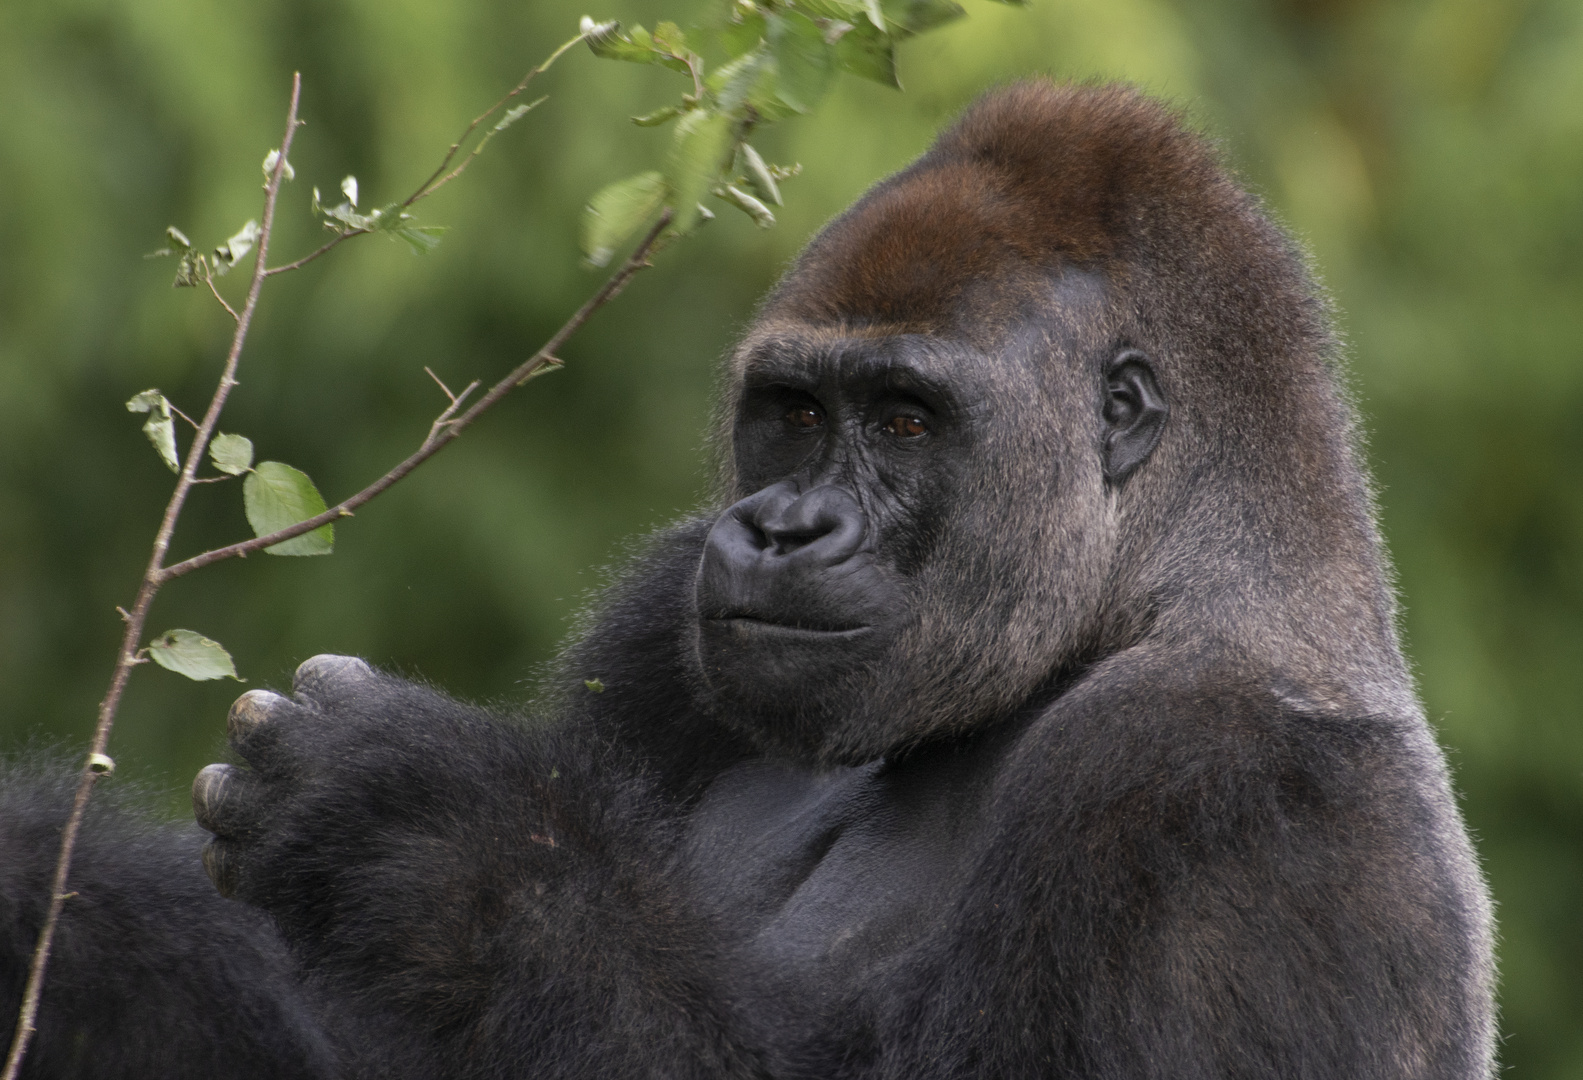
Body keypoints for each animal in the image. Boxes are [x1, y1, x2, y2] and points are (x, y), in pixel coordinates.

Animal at [0, 83, 1494, 1076]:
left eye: (903, 421)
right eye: (791, 412)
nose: (780, 529)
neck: (1149, 595)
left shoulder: (1231, 800)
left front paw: (433, 841)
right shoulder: (659, 623)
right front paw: (54, 899)